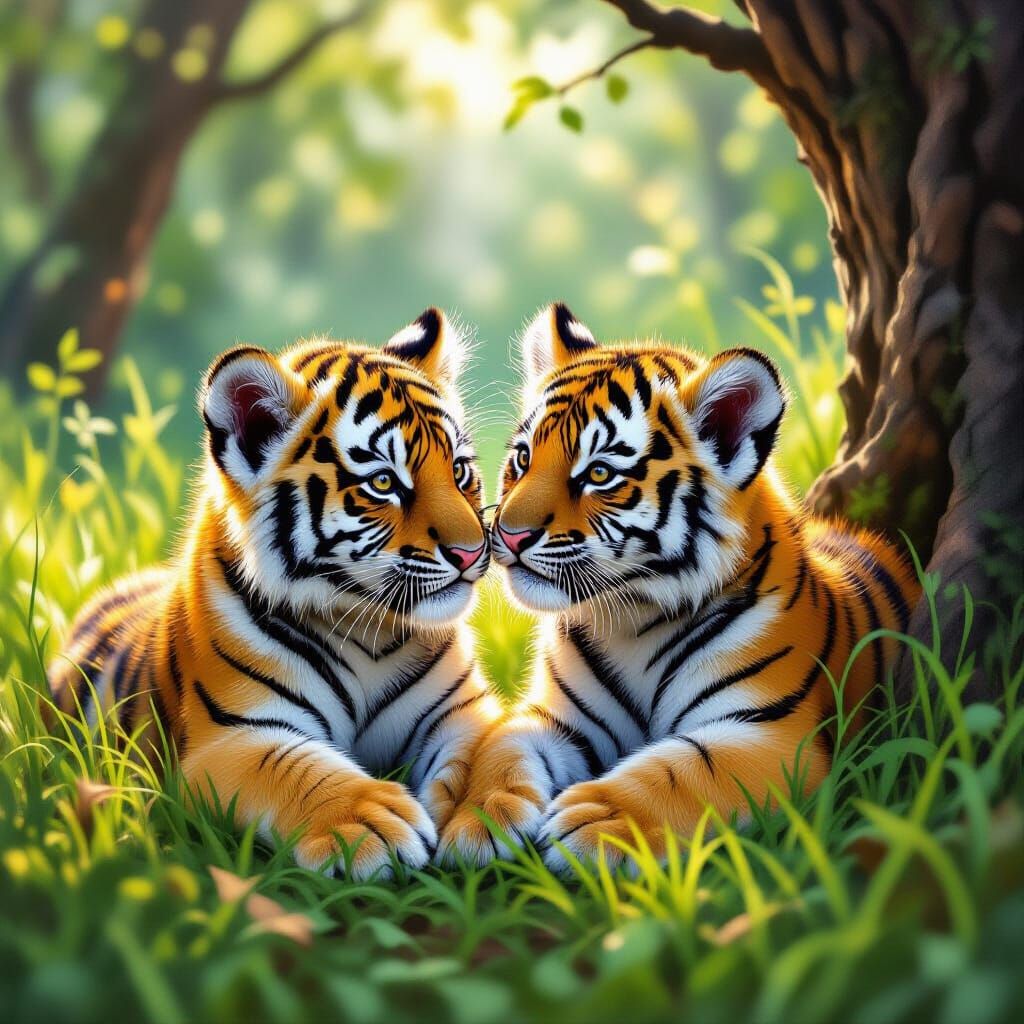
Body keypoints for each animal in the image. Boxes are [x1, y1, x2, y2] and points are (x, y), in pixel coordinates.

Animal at [49, 308, 501, 878]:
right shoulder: (233, 737)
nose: (471, 552)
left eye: (460, 471)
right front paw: (369, 826)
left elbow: (491, 748)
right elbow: (298, 770)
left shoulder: (462, 709)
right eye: (382, 483)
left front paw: (484, 812)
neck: (366, 627)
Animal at [475, 302, 918, 874]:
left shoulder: (770, 735)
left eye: (599, 474)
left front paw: (596, 822)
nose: (508, 534)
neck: (633, 619)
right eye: (524, 459)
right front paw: (478, 814)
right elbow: (503, 745)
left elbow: (680, 771)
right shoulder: (558, 717)